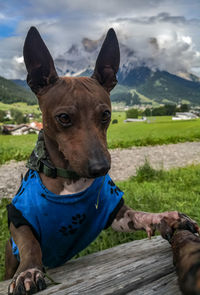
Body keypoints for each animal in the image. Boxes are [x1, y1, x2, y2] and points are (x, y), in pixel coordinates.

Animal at [5, 26, 200, 294]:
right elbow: (30, 244)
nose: (101, 168)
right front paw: (29, 272)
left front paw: (167, 218)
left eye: (106, 115)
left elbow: (141, 215)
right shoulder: (18, 217)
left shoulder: (117, 214)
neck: (70, 181)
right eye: (63, 117)